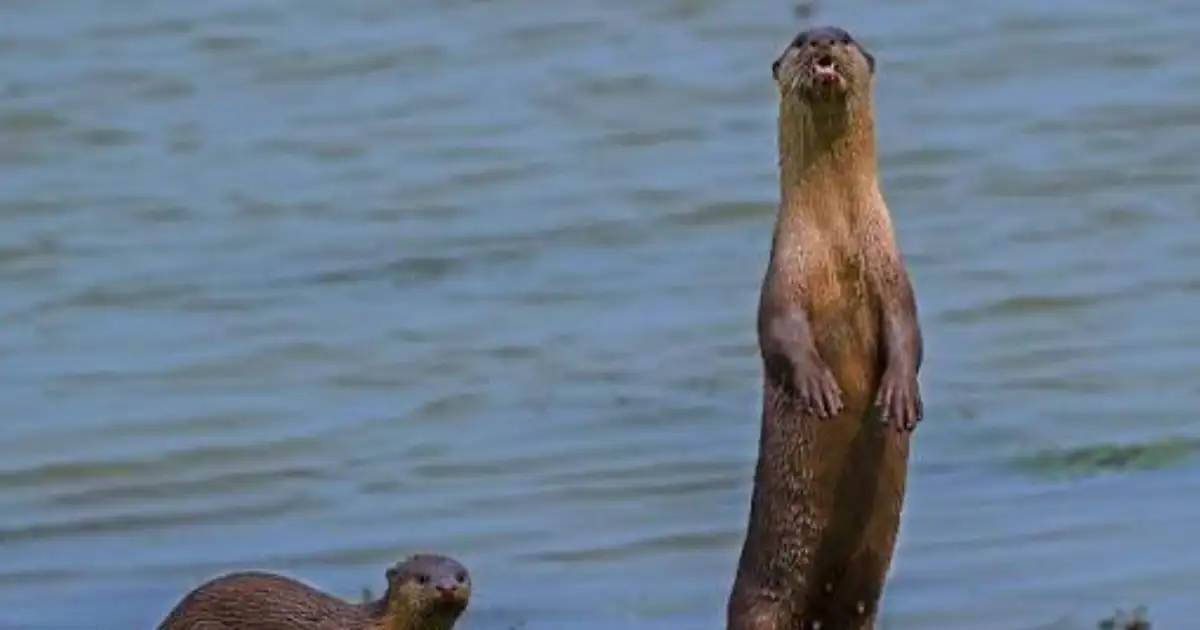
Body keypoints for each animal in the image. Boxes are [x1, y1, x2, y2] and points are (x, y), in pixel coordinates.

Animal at [727, 26, 924, 630]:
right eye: (798, 40)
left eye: (845, 36)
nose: (820, 39)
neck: (837, 243)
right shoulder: (784, 275)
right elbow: (779, 333)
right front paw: (819, 388)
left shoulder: (891, 269)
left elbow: (908, 331)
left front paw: (898, 396)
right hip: (760, 601)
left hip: (863, 590)